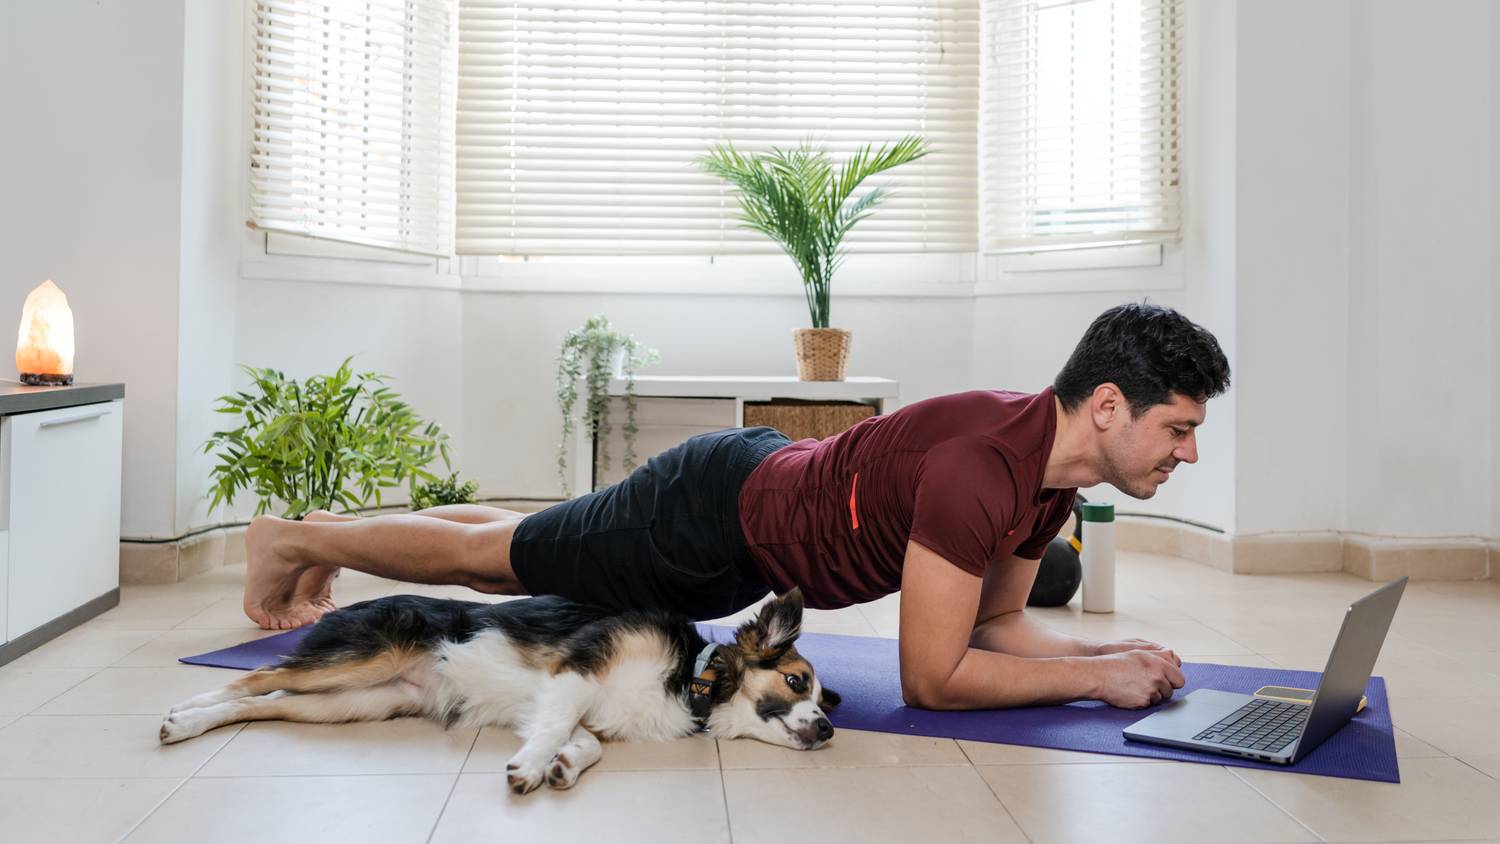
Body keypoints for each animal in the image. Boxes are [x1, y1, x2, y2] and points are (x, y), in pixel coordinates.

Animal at [168, 587, 846, 791]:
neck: (693, 677)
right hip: (359, 662)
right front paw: (531, 765)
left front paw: (563, 767)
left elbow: (584, 743)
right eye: (795, 681)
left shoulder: (581, 710)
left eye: (819, 699)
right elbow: (553, 727)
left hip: (356, 703)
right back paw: (186, 708)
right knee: (260, 676)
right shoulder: (576, 672)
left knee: (266, 702)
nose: (828, 729)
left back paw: (193, 722)